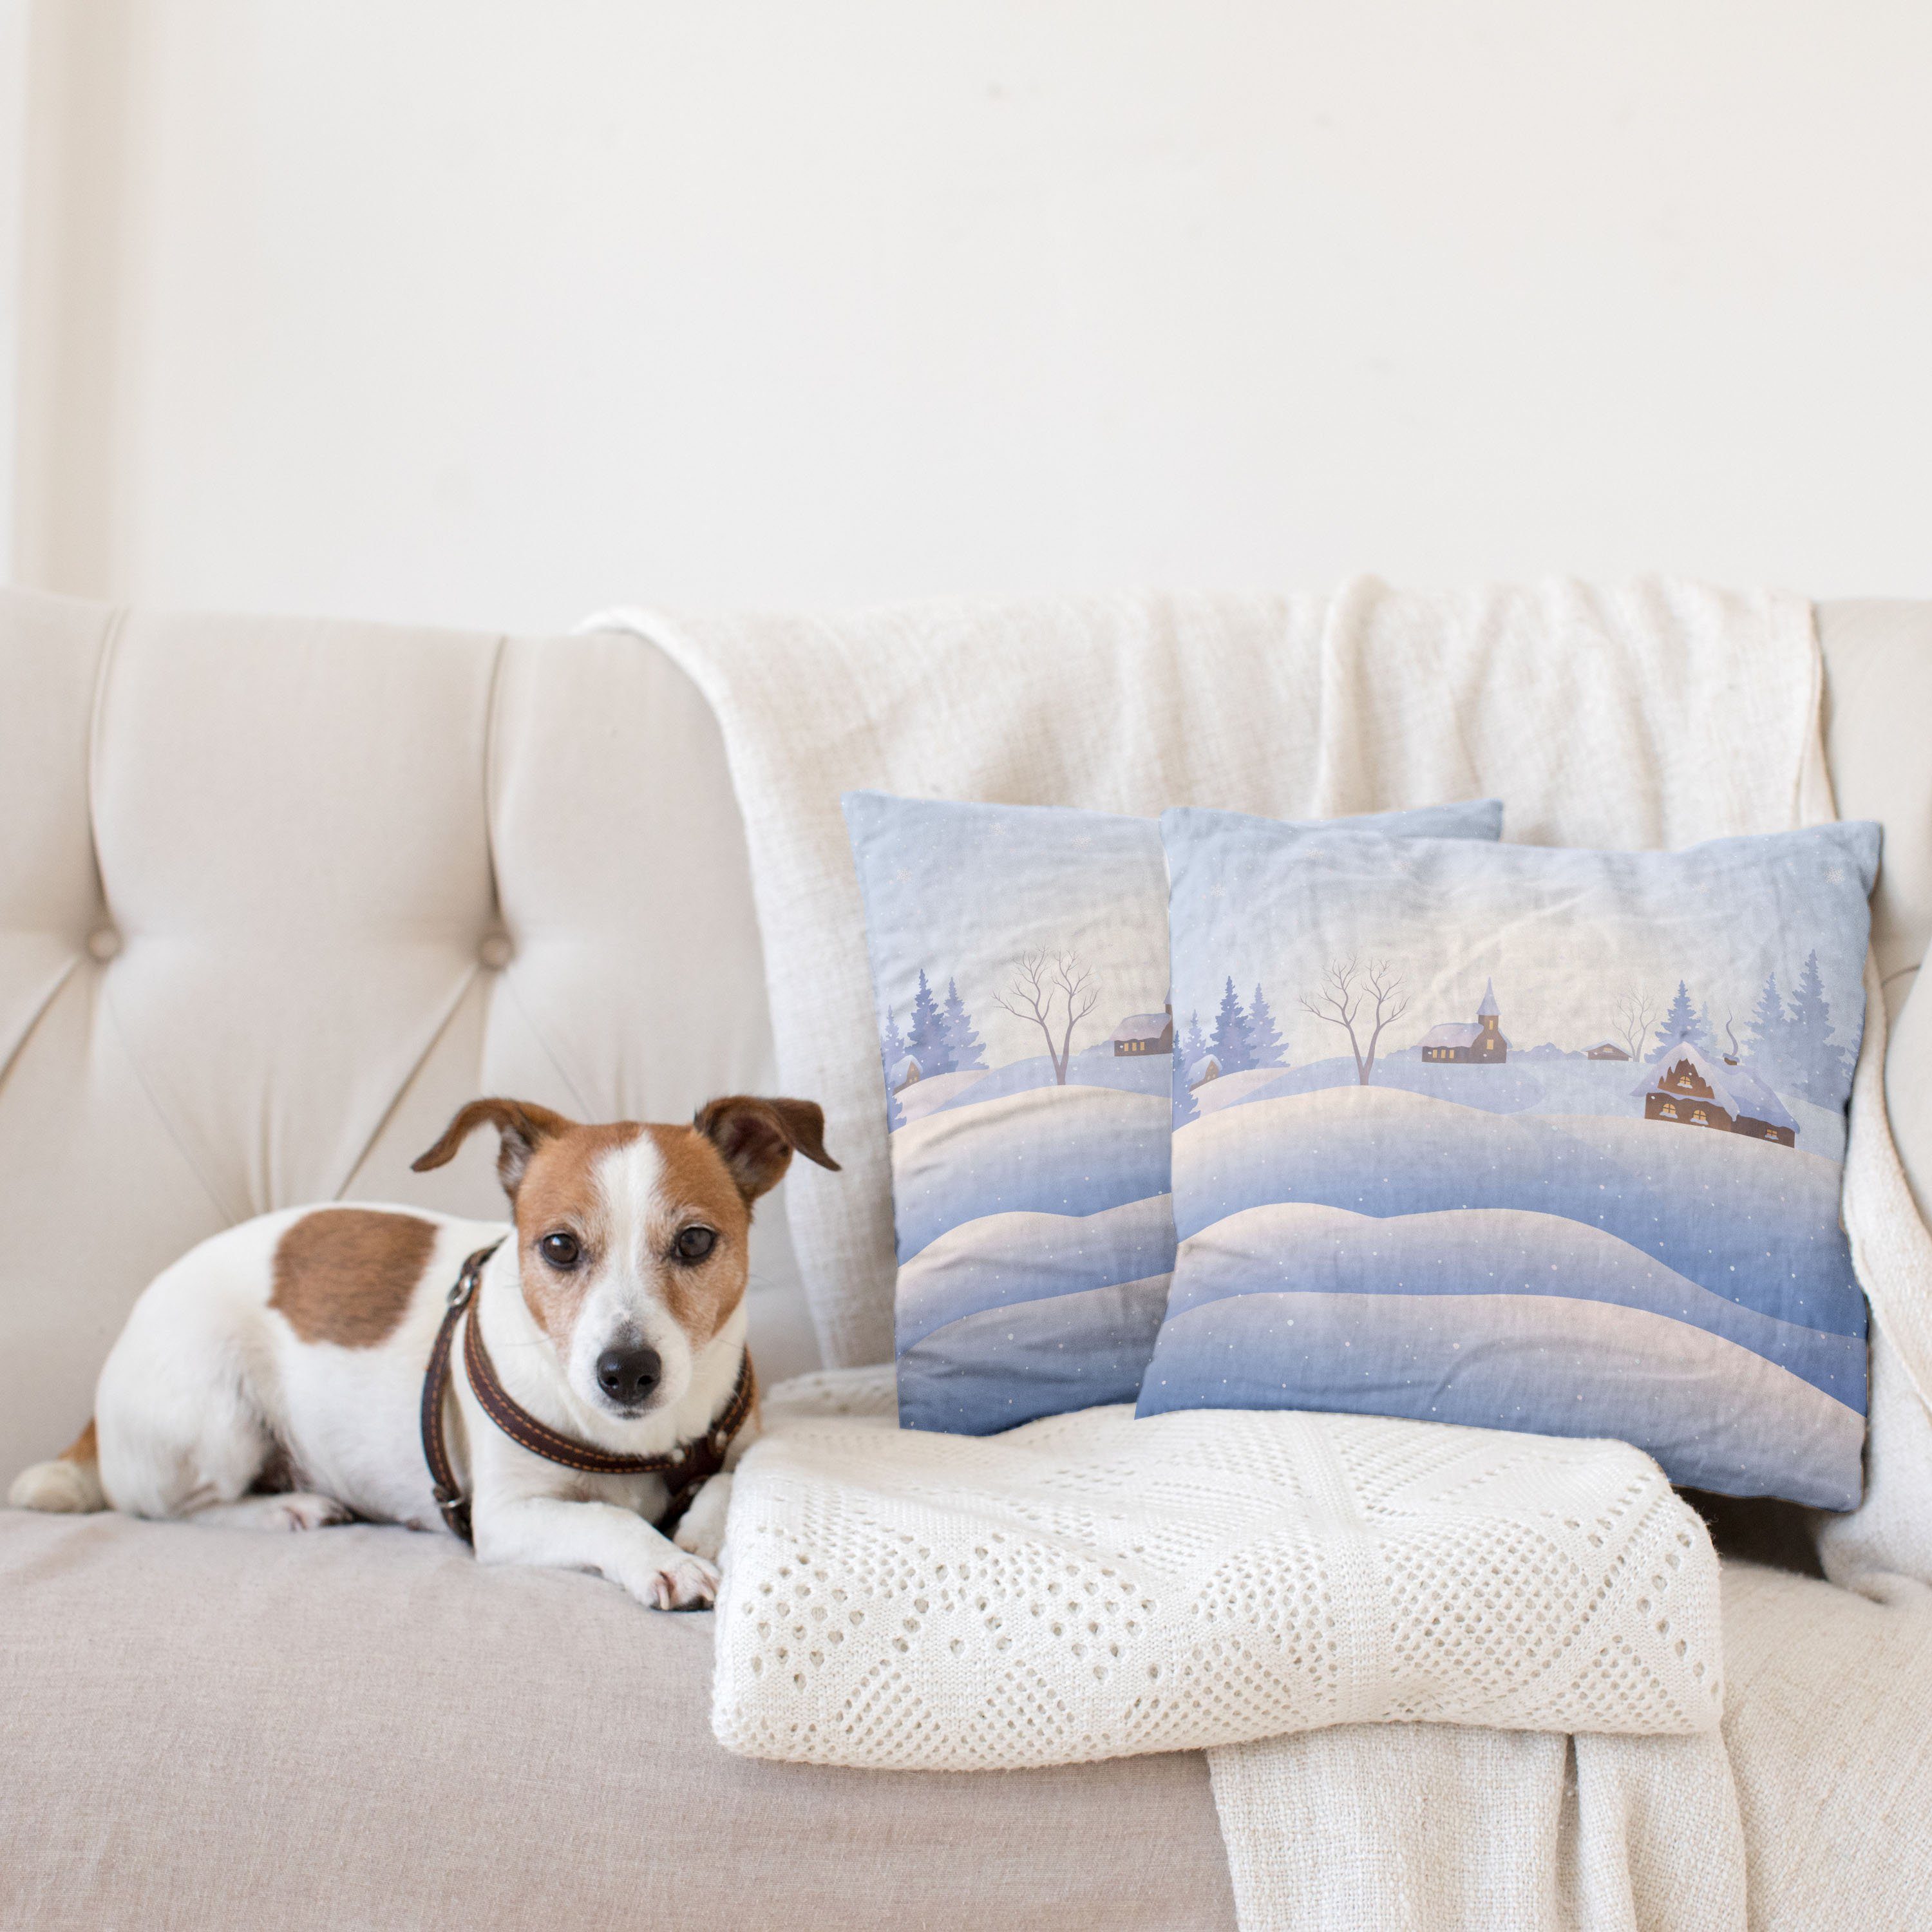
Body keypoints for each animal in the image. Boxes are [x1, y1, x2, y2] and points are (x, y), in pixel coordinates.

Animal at [7, 1097, 838, 1607]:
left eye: (695, 1241)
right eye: (560, 1248)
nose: (627, 1372)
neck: (643, 1445)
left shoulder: (737, 1441)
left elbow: (731, 1477)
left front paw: (699, 1527)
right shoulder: (506, 1518)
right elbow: (608, 1523)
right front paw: (664, 1558)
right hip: (218, 1419)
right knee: (169, 1508)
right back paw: (286, 1509)